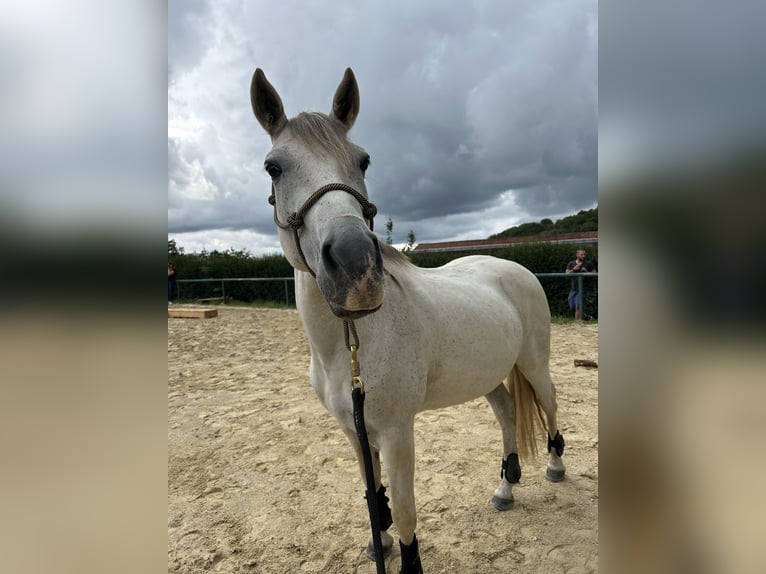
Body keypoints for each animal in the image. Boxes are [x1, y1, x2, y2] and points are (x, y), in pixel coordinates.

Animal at [250, 67, 566, 574]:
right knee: (507, 413)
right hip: (488, 375)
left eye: (363, 161)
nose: (355, 265)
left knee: (549, 405)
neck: (349, 347)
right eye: (273, 167)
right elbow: (373, 497)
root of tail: (514, 268)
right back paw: (505, 488)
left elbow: (403, 510)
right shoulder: (354, 432)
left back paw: (555, 468)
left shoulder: (398, 433)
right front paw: (375, 545)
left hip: (534, 365)